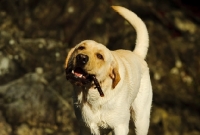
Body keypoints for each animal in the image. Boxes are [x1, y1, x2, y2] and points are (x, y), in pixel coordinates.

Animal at [65, 5, 152, 134]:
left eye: (100, 56)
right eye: (80, 48)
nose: (81, 57)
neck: (94, 97)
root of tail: (137, 54)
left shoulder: (120, 127)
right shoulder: (86, 127)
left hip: (141, 120)